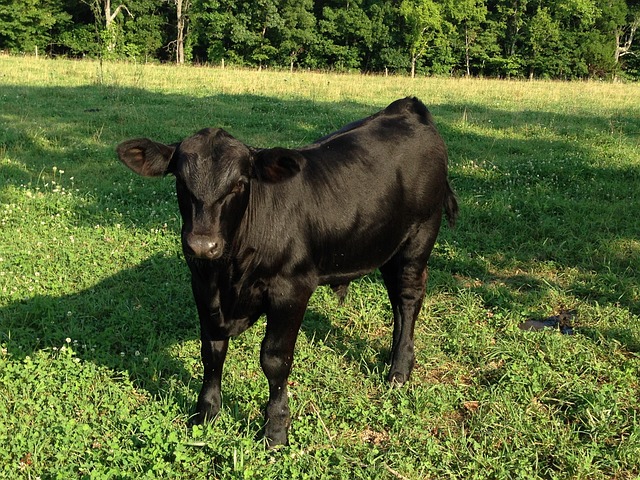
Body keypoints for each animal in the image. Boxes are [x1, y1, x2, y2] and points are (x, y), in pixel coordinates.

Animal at [116, 97, 458, 447]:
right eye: (181, 183)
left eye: (239, 184)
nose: (202, 245)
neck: (229, 273)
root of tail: (407, 108)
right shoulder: (202, 285)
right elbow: (211, 351)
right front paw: (205, 413)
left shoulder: (290, 290)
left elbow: (275, 360)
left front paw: (276, 430)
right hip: (387, 246)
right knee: (396, 300)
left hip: (419, 238)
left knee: (408, 298)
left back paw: (399, 371)